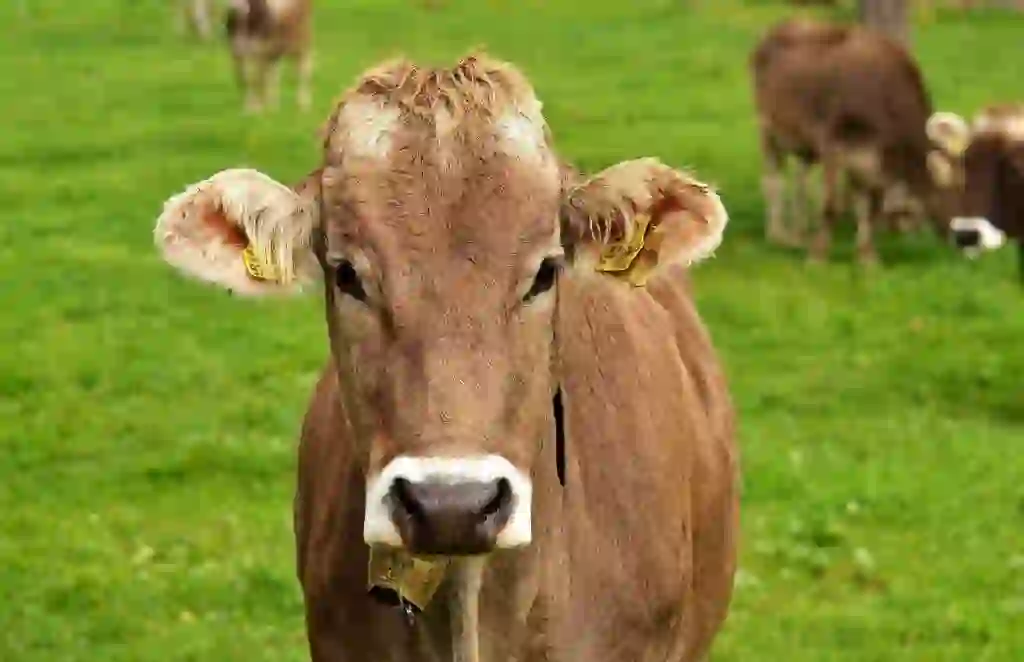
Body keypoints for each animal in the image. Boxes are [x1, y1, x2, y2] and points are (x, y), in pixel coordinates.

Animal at [749, 17, 962, 264]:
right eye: (950, 194)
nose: (964, 237)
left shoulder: (871, 162)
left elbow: (869, 208)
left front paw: (867, 256)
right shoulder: (832, 145)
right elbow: (830, 205)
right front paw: (818, 255)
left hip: (805, 146)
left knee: (801, 183)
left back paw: (800, 233)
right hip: (768, 129)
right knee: (773, 180)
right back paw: (778, 234)